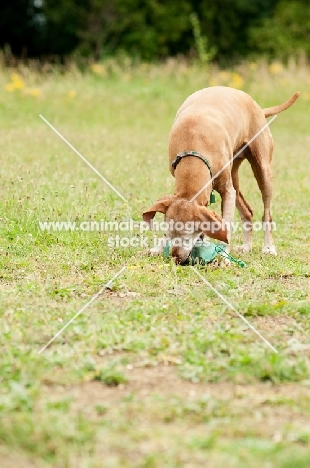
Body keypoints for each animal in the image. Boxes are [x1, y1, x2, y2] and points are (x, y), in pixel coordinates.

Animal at [143, 88, 300, 264]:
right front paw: (159, 247)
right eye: (169, 234)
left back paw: (268, 247)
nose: (176, 258)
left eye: (187, 236)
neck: (194, 144)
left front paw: (224, 256)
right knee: (247, 211)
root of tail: (258, 108)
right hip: (234, 175)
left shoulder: (226, 191)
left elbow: (227, 226)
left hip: (263, 169)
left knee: (267, 212)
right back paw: (246, 246)